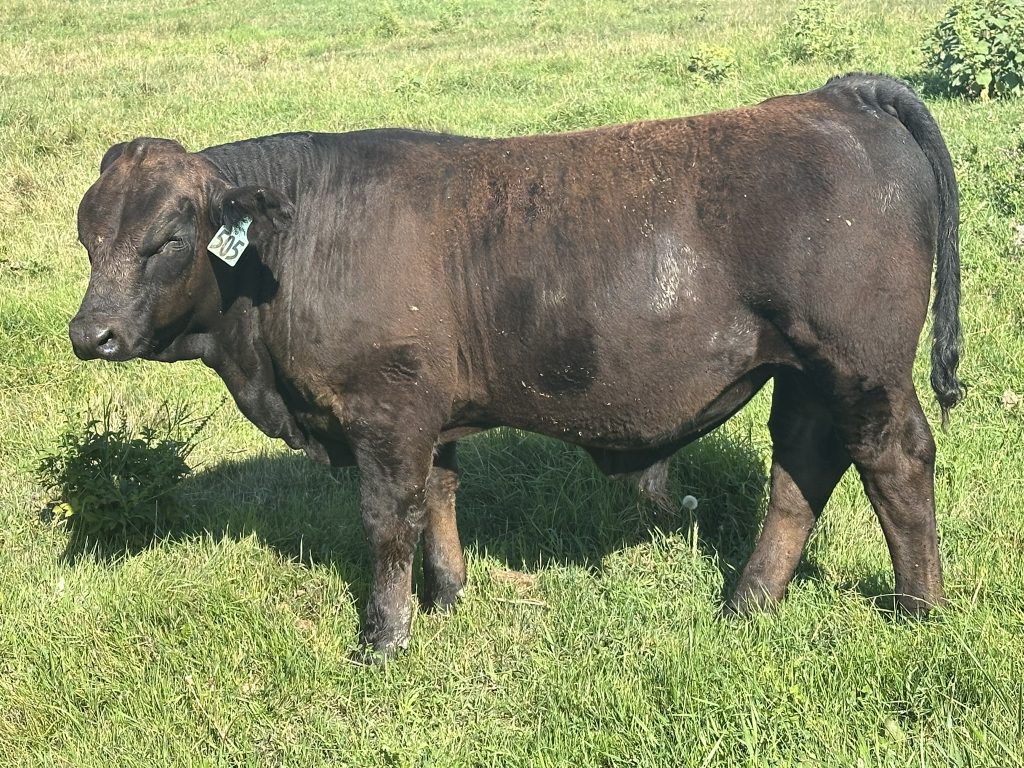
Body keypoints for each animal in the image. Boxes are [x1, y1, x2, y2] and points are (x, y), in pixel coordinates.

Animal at [69, 73, 963, 659]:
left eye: (168, 239)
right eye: (88, 236)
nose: (91, 333)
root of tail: (835, 96)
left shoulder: (386, 418)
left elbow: (388, 522)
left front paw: (383, 639)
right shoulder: (429, 418)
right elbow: (440, 500)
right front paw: (450, 597)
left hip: (861, 367)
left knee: (895, 462)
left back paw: (918, 610)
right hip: (804, 374)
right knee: (800, 471)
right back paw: (747, 604)